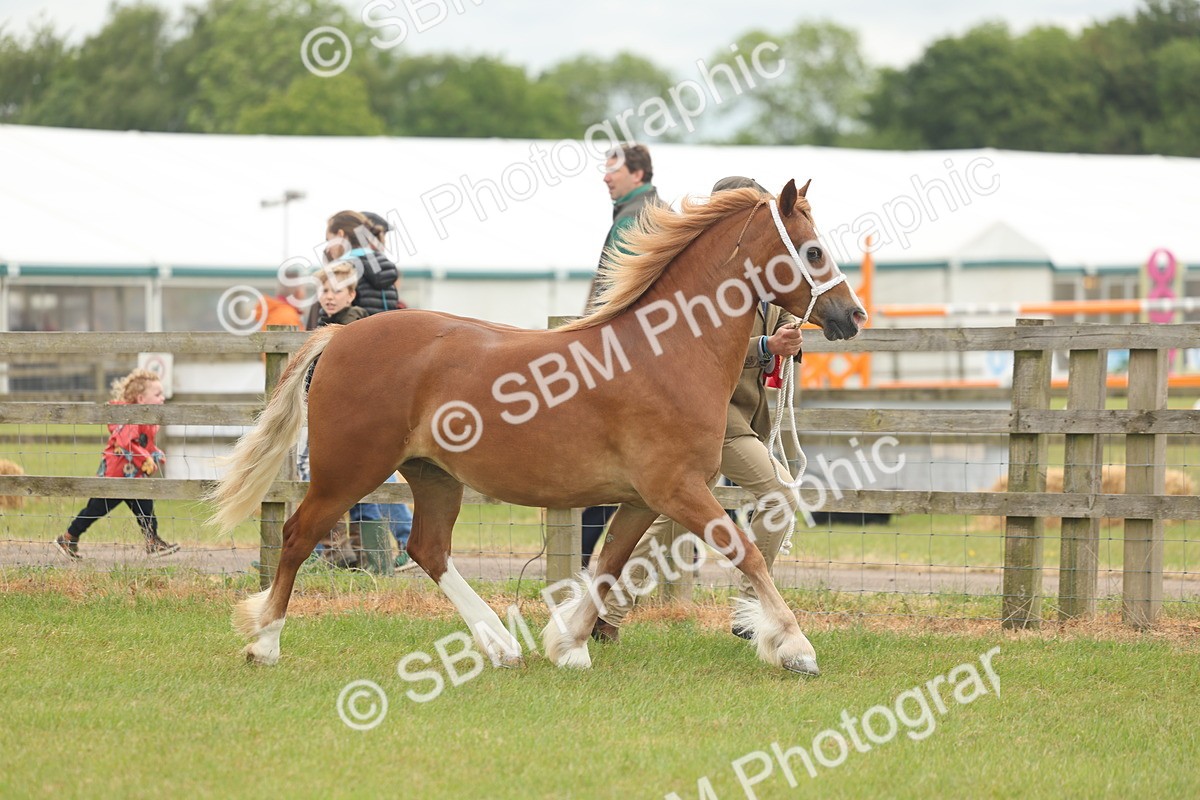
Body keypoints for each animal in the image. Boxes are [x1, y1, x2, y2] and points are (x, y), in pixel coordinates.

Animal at [209, 180, 866, 675]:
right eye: (812, 251)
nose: (853, 315)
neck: (667, 351)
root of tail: (340, 335)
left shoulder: (643, 499)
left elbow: (607, 566)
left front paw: (568, 645)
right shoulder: (677, 489)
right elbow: (747, 554)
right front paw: (795, 646)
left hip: (432, 475)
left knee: (428, 549)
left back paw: (500, 645)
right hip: (348, 471)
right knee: (297, 535)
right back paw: (264, 642)